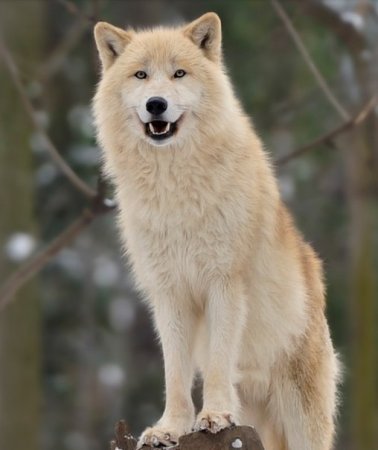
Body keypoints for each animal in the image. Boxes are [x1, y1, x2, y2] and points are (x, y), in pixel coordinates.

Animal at [92, 12, 340, 450]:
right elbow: (175, 373)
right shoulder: (169, 292)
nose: (157, 104)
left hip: (303, 420)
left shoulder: (224, 283)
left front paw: (216, 416)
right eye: (141, 75)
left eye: (179, 73)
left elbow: (218, 360)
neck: (174, 189)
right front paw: (171, 428)